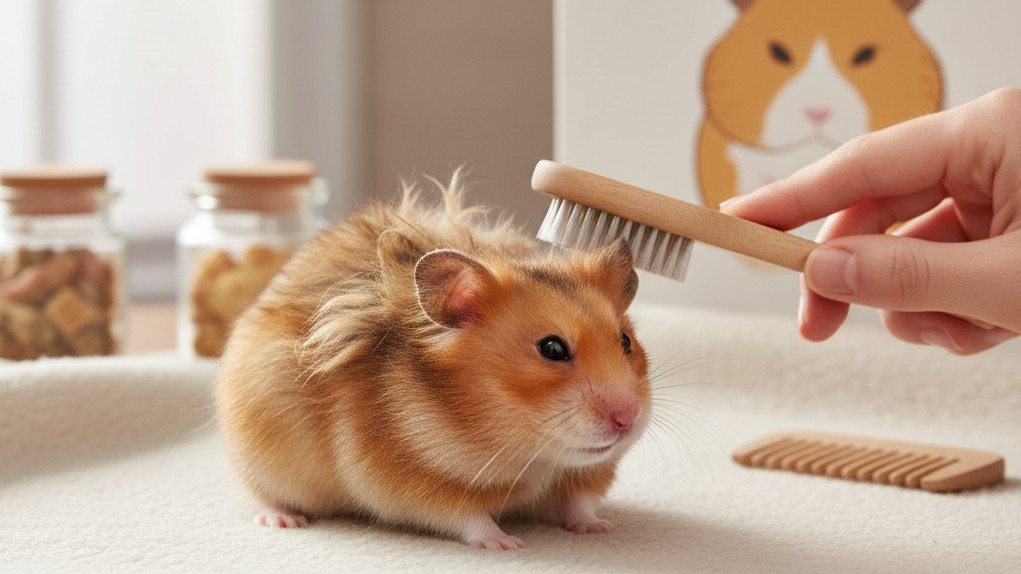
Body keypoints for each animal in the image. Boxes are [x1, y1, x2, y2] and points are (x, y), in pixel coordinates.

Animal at [214, 172, 651, 550]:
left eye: (626, 341)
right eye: (552, 349)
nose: (627, 418)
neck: (532, 458)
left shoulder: (578, 476)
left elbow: (576, 504)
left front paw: (599, 529)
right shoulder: (414, 489)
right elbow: (469, 518)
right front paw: (507, 544)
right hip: (259, 456)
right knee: (267, 496)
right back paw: (284, 520)